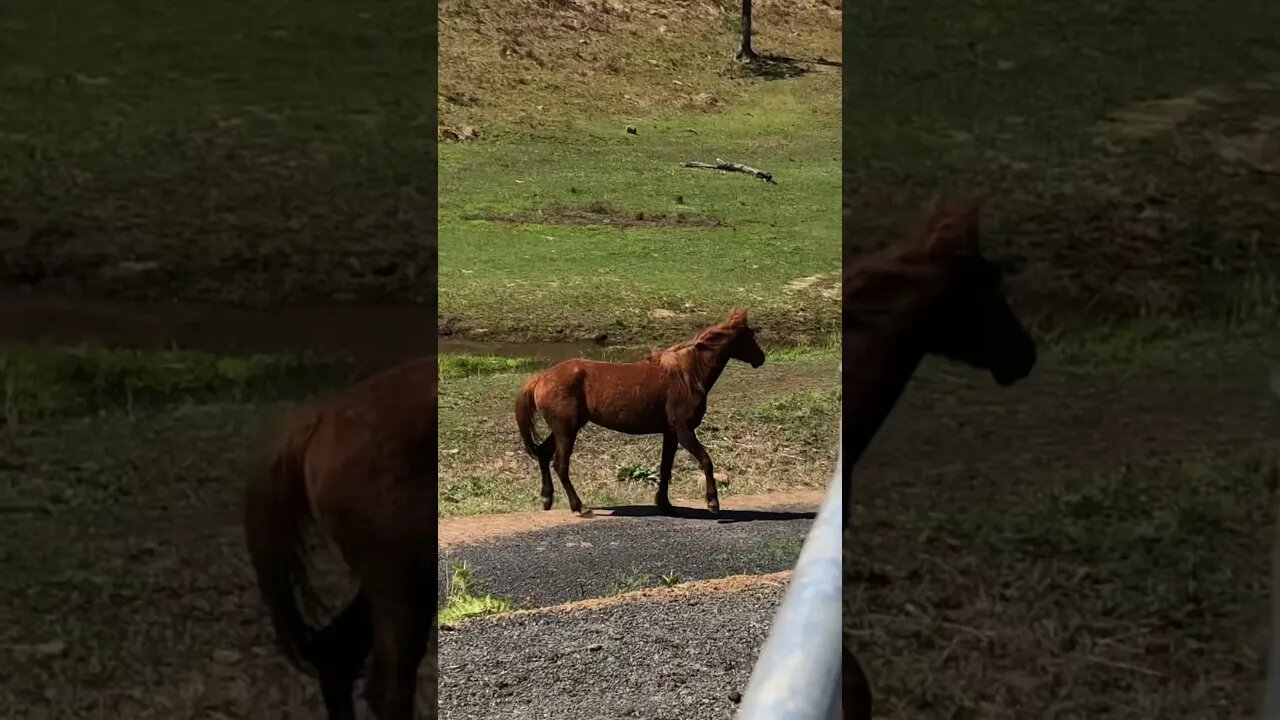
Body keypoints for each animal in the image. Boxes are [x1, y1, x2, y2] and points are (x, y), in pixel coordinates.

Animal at [512, 308, 768, 515]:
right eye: (750, 336)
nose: (761, 358)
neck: (686, 374)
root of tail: (540, 378)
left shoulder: (670, 433)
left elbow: (665, 468)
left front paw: (665, 504)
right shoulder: (683, 430)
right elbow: (706, 461)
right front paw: (713, 503)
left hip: (563, 429)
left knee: (544, 455)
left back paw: (547, 499)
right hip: (566, 430)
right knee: (560, 465)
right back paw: (580, 507)